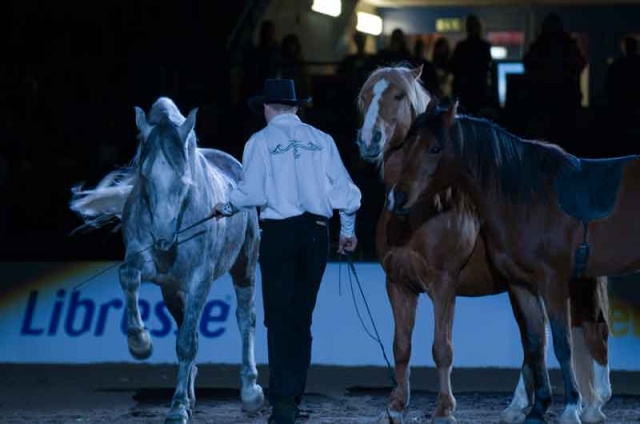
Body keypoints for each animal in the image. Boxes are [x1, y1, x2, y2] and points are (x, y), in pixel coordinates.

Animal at [69, 97, 265, 424]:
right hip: (172, 290)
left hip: (244, 267)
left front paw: (177, 409)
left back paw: (250, 391)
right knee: (187, 323)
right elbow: (128, 277)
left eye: (184, 178)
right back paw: (191, 393)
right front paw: (140, 343)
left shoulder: (200, 279)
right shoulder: (151, 268)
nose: (163, 239)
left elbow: (186, 343)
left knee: (244, 317)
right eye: (144, 175)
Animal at [356, 65, 611, 424]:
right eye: (365, 96)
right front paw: (395, 407)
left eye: (399, 95)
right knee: (538, 342)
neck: (423, 211)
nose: (370, 139)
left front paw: (444, 409)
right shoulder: (398, 284)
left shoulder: (443, 285)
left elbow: (442, 348)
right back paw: (519, 406)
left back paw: (592, 406)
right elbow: (401, 348)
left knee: (593, 331)